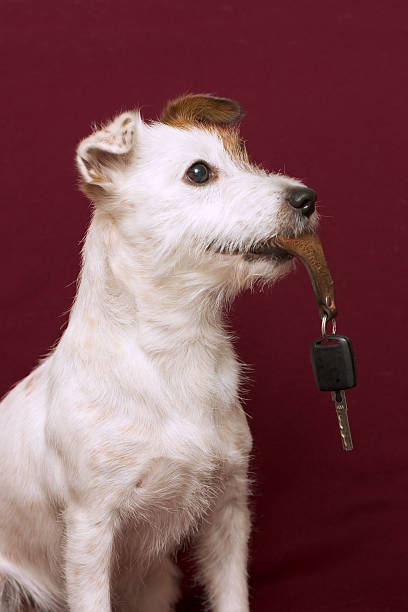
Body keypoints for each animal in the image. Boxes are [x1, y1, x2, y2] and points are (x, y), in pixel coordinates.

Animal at [0, 95, 318, 612]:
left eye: (245, 158)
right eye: (199, 172)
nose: (307, 199)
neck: (178, 349)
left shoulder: (228, 512)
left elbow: (232, 594)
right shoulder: (90, 533)